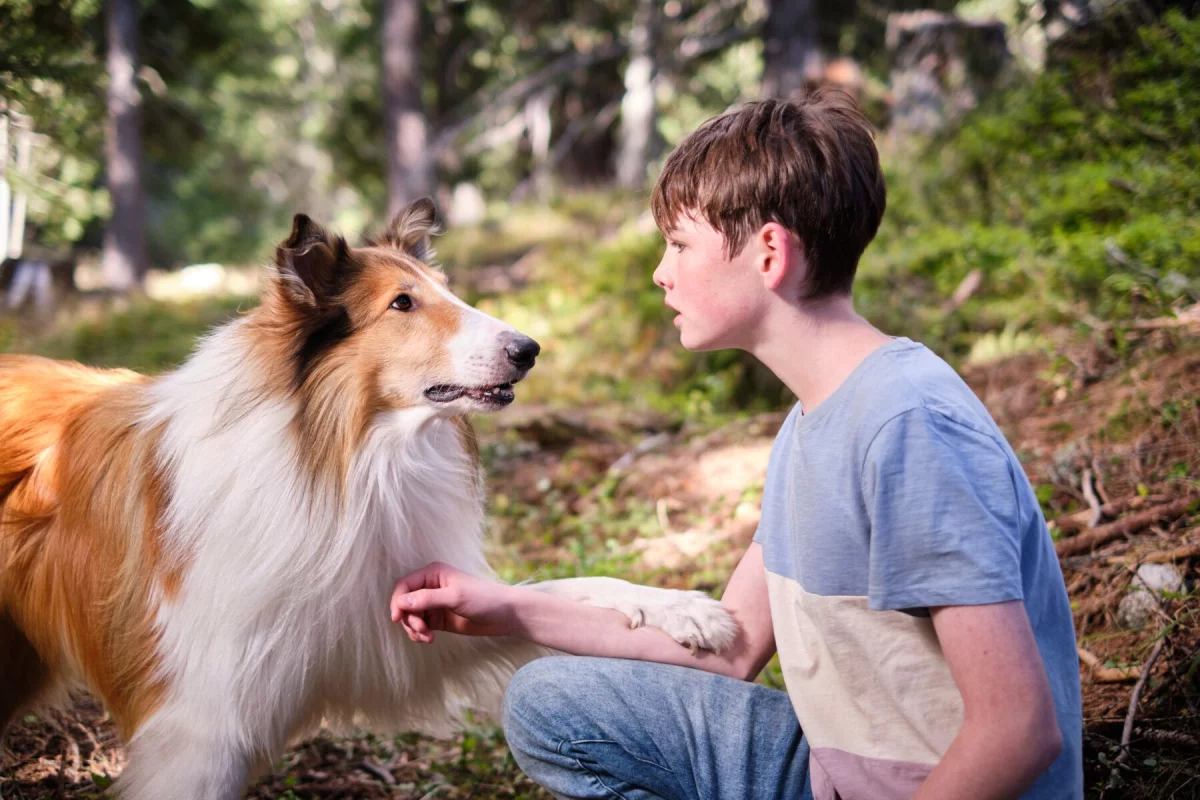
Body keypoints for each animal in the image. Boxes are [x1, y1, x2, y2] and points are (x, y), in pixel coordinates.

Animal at [0, 199, 734, 796]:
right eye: (402, 304)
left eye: (448, 292)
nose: (529, 349)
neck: (343, 459)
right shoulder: (198, 731)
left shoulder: (395, 626)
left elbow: (566, 591)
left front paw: (685, 610)